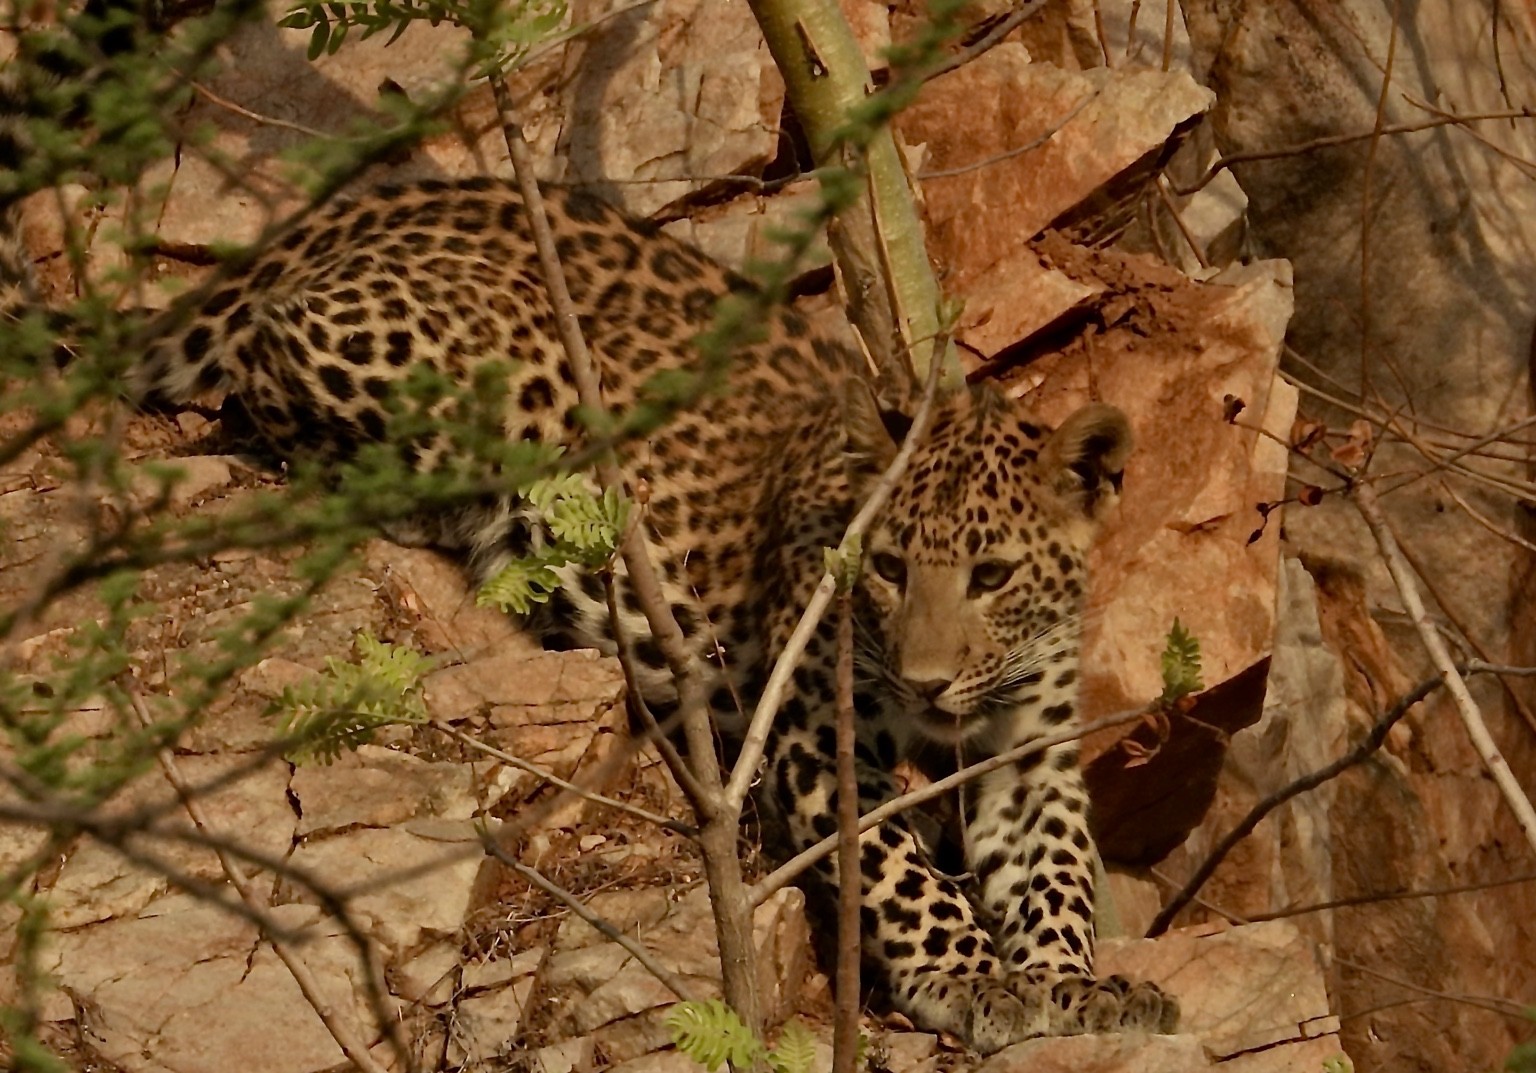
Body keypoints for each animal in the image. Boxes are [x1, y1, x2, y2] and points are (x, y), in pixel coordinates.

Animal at [5, 172, 1178, 1051]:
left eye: (990, 574)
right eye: (887, 565)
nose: (928, 677)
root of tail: (387, 199)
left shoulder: (1029, 746)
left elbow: (1058, 868)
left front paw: (1073, 980)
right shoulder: (813, 729)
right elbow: (897, 869)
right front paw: (974, 978)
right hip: (497, 366)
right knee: (267, 353)